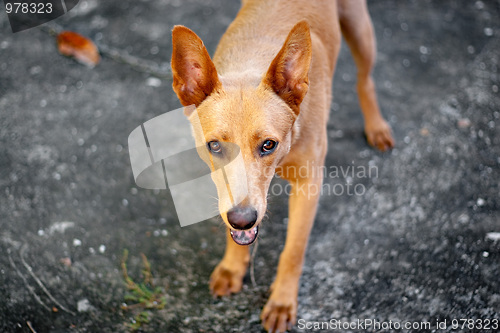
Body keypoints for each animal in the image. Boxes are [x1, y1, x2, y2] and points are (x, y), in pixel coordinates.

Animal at [170, 1, 392, 330]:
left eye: (268, 145)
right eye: (214, 146)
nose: (243, 219)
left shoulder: (309, 186)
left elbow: (293, 252)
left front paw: (282, 302)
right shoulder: (229, 196)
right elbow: (233, 223)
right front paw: (232, 267)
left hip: (360, 29)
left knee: (365, 79)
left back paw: (376, 126)